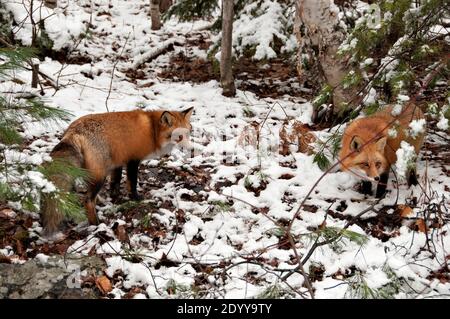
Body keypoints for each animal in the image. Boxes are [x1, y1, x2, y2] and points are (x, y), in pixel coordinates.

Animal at [42, 109, 195, 236]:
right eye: (179, 136)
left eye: (188, 133)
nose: (192, 149)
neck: (152, 130)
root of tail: (73, 131)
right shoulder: (133, 160)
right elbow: (132, 183)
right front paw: (136, 199)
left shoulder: (118, 162)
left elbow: (115, 183)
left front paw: (116, 198)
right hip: (100, 175)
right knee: (88, 200)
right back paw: (96, 224)